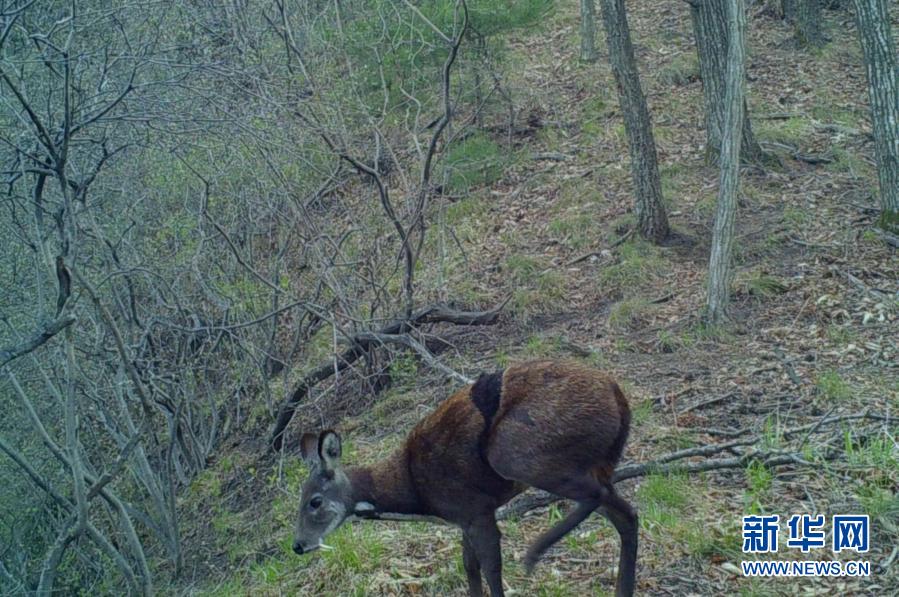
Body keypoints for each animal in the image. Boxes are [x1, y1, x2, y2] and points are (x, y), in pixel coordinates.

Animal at [292, 358, 636, 596]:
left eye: (315, 501)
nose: (298, 545)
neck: (414, 490)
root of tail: (619, 396)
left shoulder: (475, 509)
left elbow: (491, 569)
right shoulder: (463, 519)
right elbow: (469, 567)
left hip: (516, 453)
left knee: (599, 497)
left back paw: (534, 553)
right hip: (595, 464)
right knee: (626, 513)